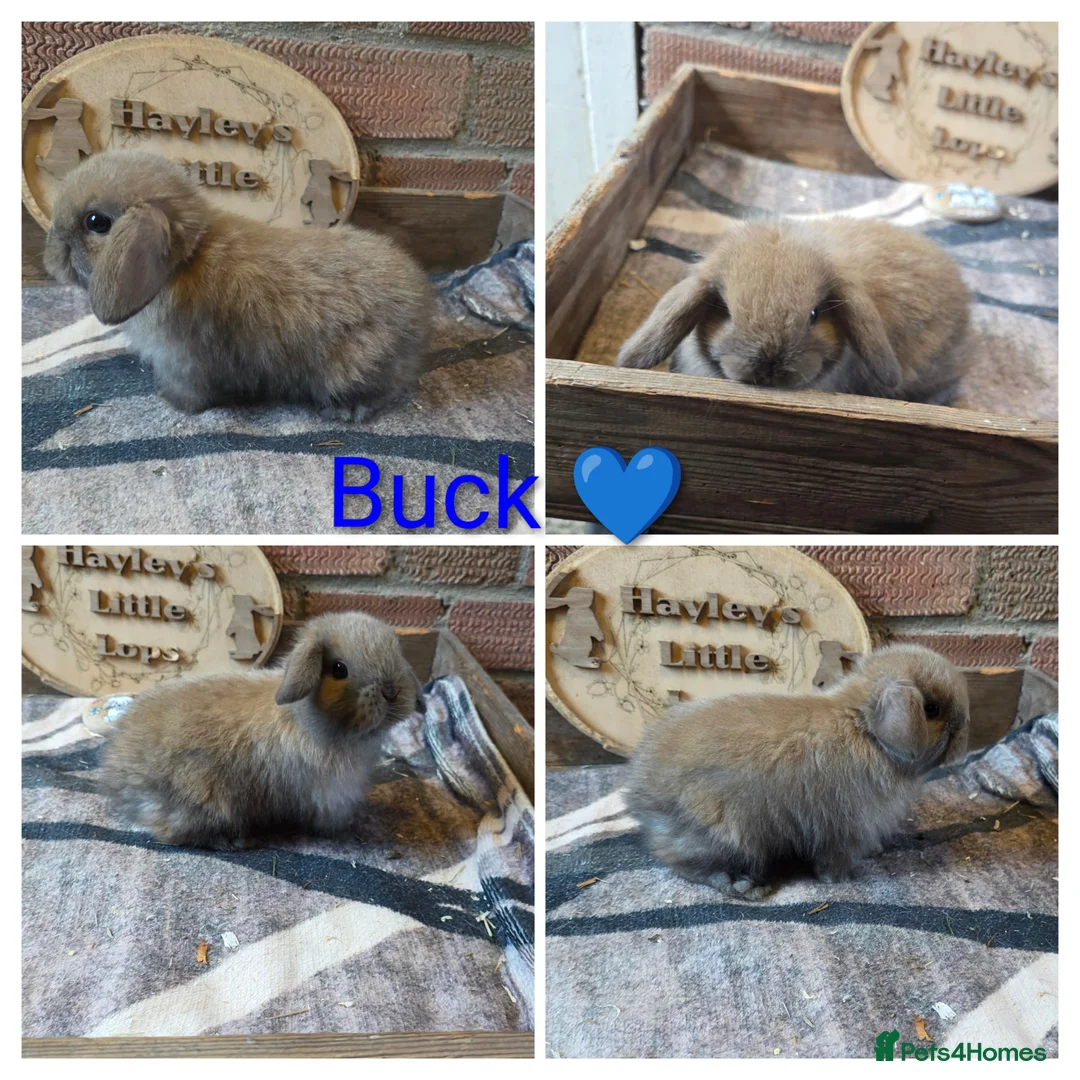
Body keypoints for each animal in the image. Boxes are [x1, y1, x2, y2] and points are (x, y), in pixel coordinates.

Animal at [43, 150, 433, 421]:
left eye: (96, 222)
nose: (51, 256)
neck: (182, 261)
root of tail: (422, 315)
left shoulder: (185, 361)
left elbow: (192, 393)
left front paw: (170, 402)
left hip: (354, 367)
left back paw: (345, 411)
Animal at [100, 612, 425, 849]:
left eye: (397, 653)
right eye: (339, 668)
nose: (392, 692)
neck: (307, 720)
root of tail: (117, 772)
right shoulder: (330, 796)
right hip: (204, 801)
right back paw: (237, 841)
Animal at [625, 644, 970, 899]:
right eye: (931, 709)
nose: (964, 725)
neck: (866, 729)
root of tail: (639, 792)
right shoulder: (842, 826)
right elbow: (833, 859)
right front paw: (840, 880)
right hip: (726, 836)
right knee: (682, 863)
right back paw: (741, 885)